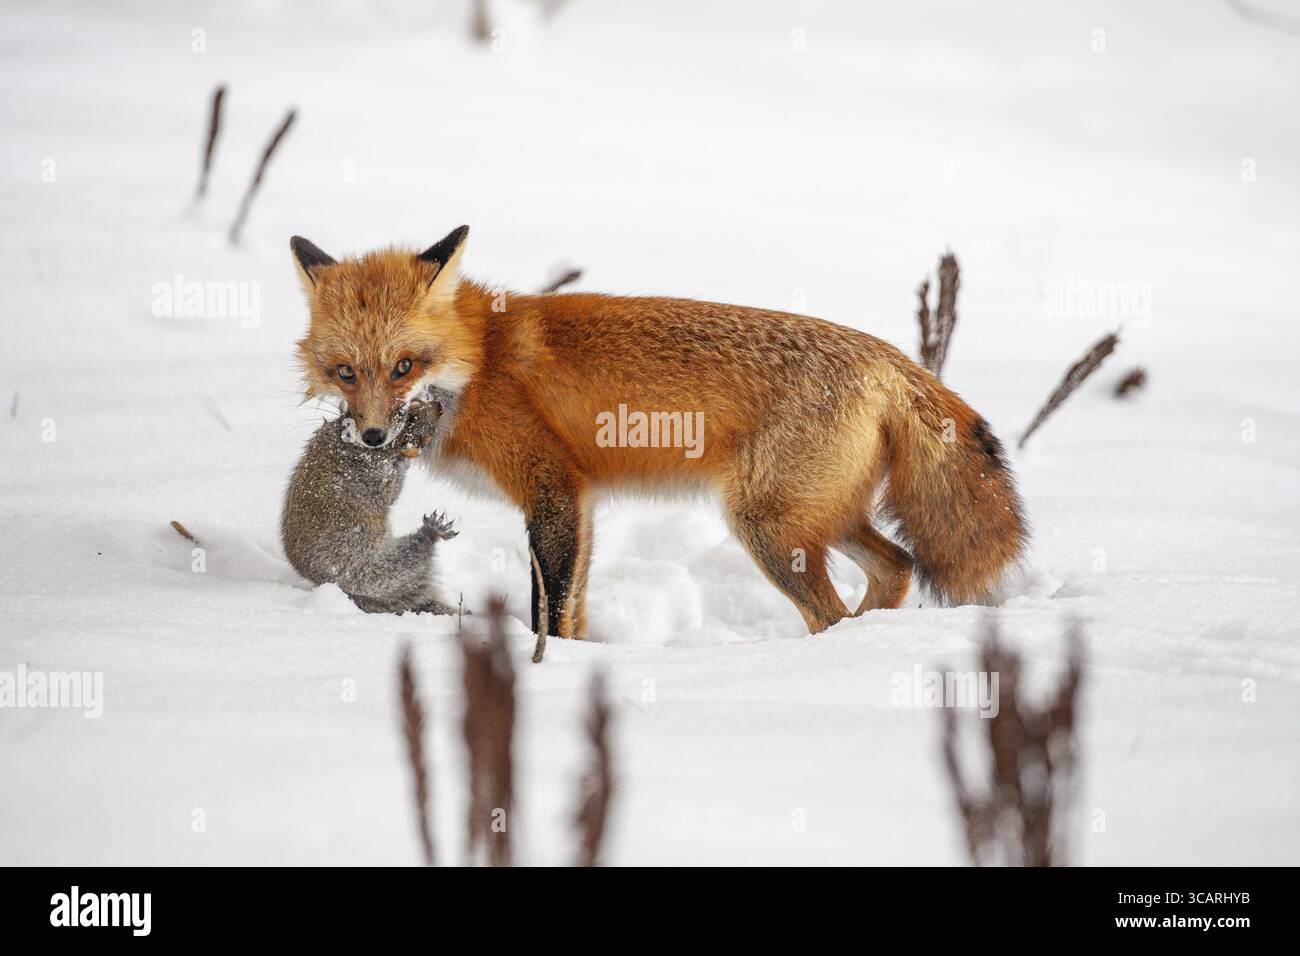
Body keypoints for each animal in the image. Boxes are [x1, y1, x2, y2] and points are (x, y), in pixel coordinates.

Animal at [281, 397, 460, 615]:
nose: (439, 407)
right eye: (409, 418)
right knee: (413, 554)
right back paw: (431, 531)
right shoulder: (372, 474)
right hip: (381, 570)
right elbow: (391, 491)